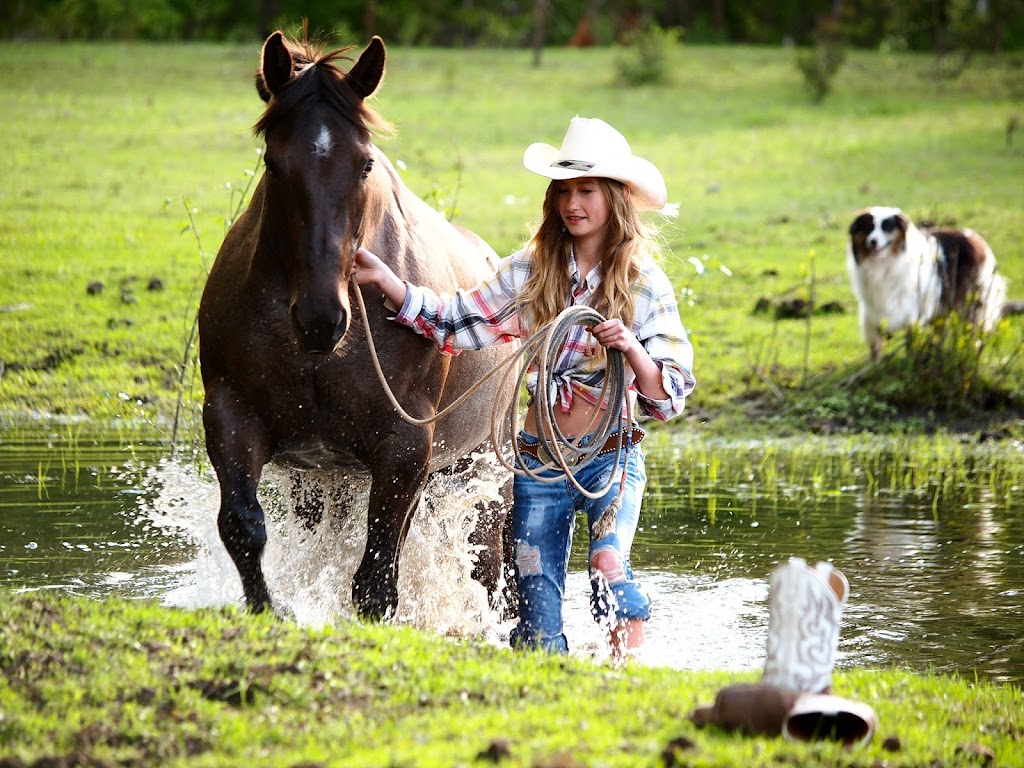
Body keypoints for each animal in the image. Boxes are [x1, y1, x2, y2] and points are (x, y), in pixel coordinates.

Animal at [199, 31, 520, 626]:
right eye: (272, 162)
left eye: (366, 164)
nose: (321, 319)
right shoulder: (233, 415)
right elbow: (242, 526)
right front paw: (268, 612)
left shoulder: (405, 447)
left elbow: (376, 577)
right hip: (327, 477)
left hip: (478, 473)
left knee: (494, 566)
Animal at [847, 204, 1007, 360]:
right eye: (868, 227)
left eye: (887, 227)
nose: (873, 242)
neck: (884, 263)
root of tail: (975, 238)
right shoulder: (872, 313)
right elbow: (877, 346)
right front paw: (878, 365)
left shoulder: (912, 312)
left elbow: (910, 342)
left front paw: (910, 361)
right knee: (941, 330)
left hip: (973, 302)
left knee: (973, 331)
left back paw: (971, 353)